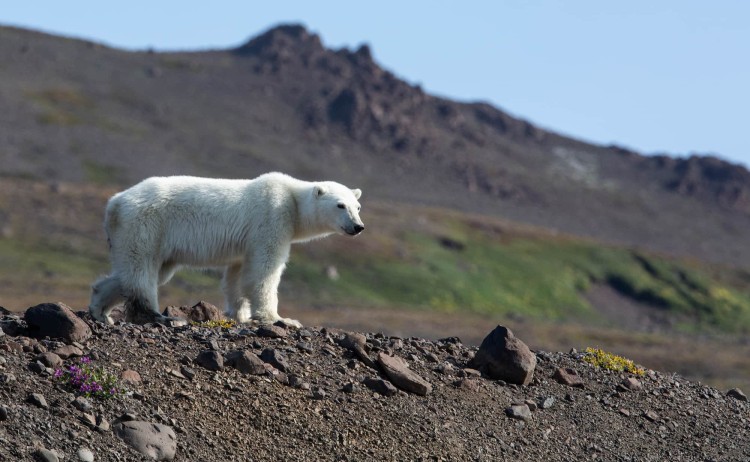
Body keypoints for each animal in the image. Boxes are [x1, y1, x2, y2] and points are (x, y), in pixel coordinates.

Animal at [88, 172, 364, 327]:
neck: (293, 201)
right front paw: (281, 319)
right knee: (141, 269)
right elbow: (264, 271)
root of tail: (114, 203)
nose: (358, 226)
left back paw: (101, 311)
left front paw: (239, 314)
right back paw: (159, 316)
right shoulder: (272, 218)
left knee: (133, 273)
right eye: (340, 205)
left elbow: (237, 275)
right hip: (146, 224)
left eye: (357, 206)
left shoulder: (245, 243)